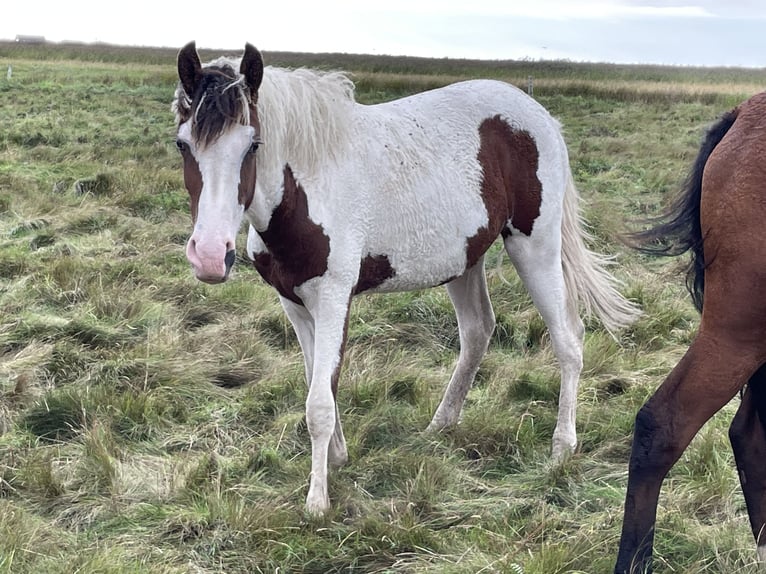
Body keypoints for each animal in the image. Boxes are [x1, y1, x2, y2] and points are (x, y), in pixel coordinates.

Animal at [172, 41, 640, 515]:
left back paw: (562, 446)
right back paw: (441, 424)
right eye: (182, 144)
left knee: (567, 339)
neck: (305, 188)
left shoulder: (333, 297)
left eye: (253, 146)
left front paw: (318, 501)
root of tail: (540, 116)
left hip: (535, 247)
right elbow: (317, 382)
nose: (210, 256)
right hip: (463, 259)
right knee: (478, 332)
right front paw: (337, 457)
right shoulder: (294, 303)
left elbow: (319, 402)